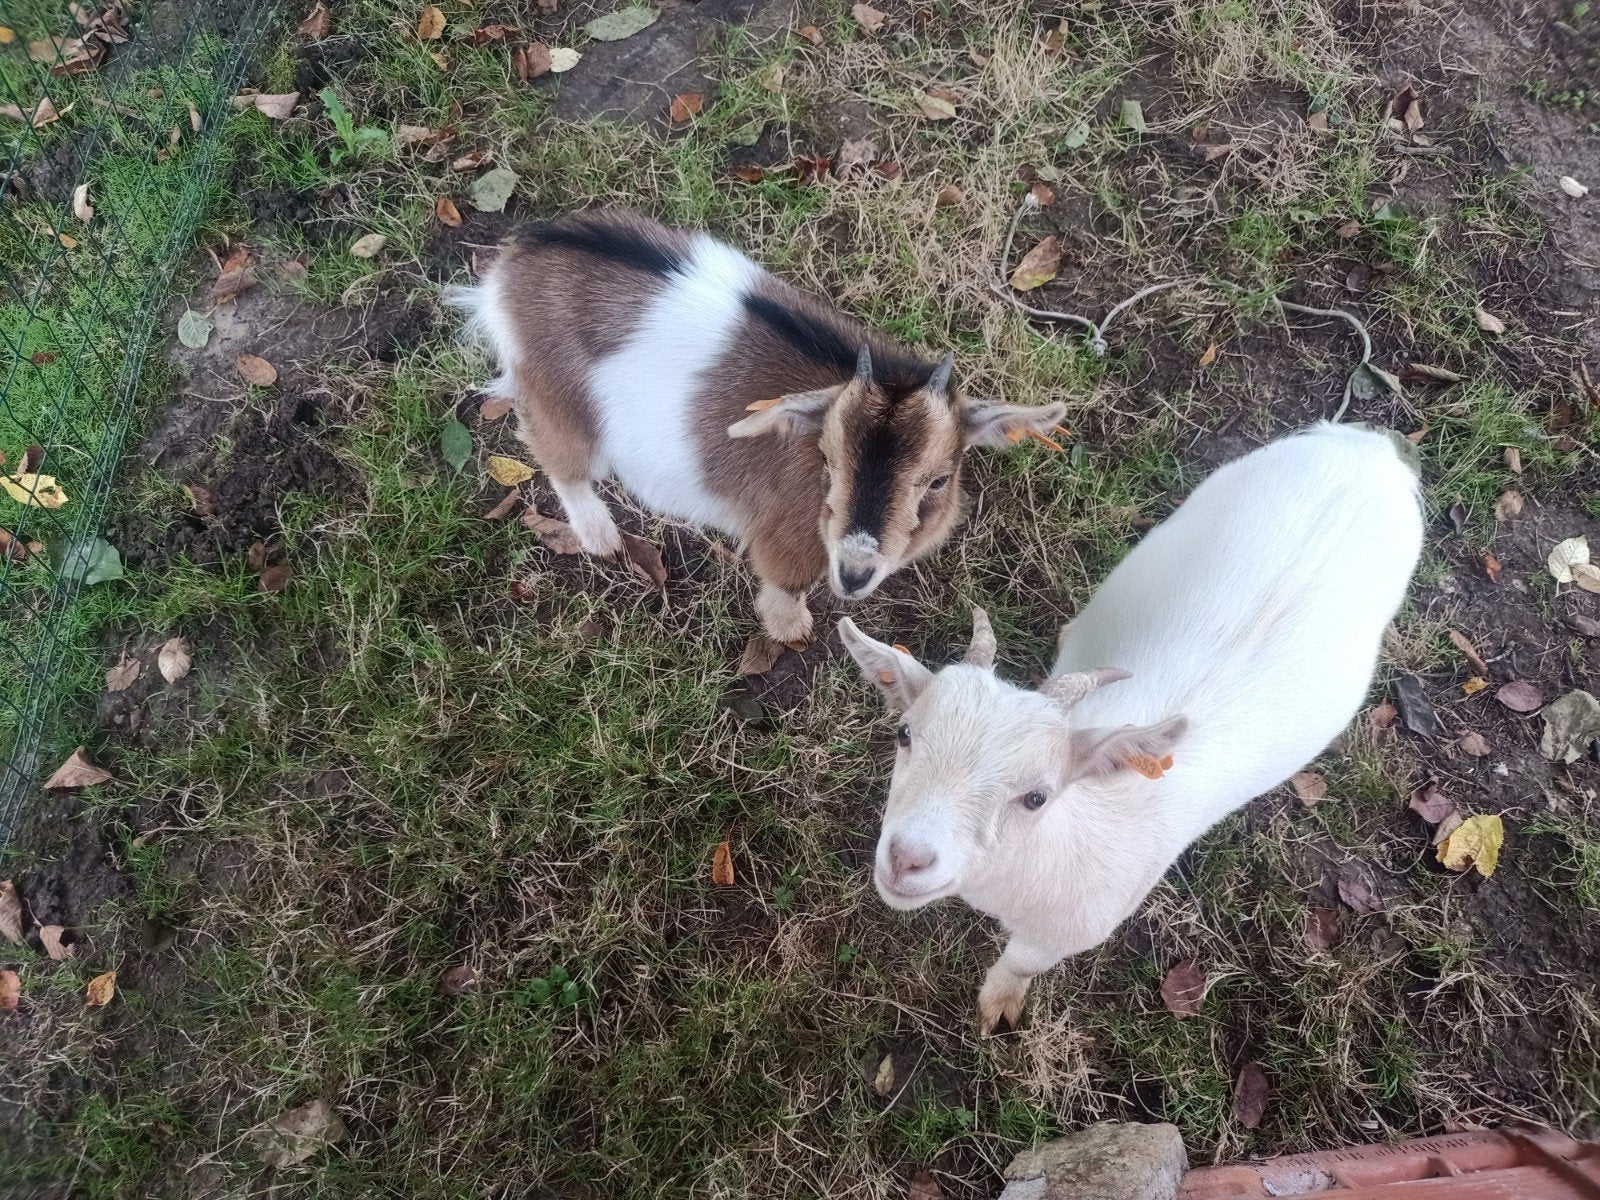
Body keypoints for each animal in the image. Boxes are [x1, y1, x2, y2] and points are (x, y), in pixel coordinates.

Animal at [449, 209, 1066, 643]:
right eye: (826, 461)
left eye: (939, 481)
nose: (855, 573)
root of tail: (510, 270)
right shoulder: (787, 538)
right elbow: (784, 582)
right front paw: (789, 630)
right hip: (560, 401)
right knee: (555, 456)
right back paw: (599, 535)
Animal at [837, 422, 1424, 1031]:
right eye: (905, 733)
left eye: (1036, 797)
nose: (907, 859)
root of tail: (1370, 451)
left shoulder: (1069, 932)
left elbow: (1021, 964)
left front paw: (1000, 1007)